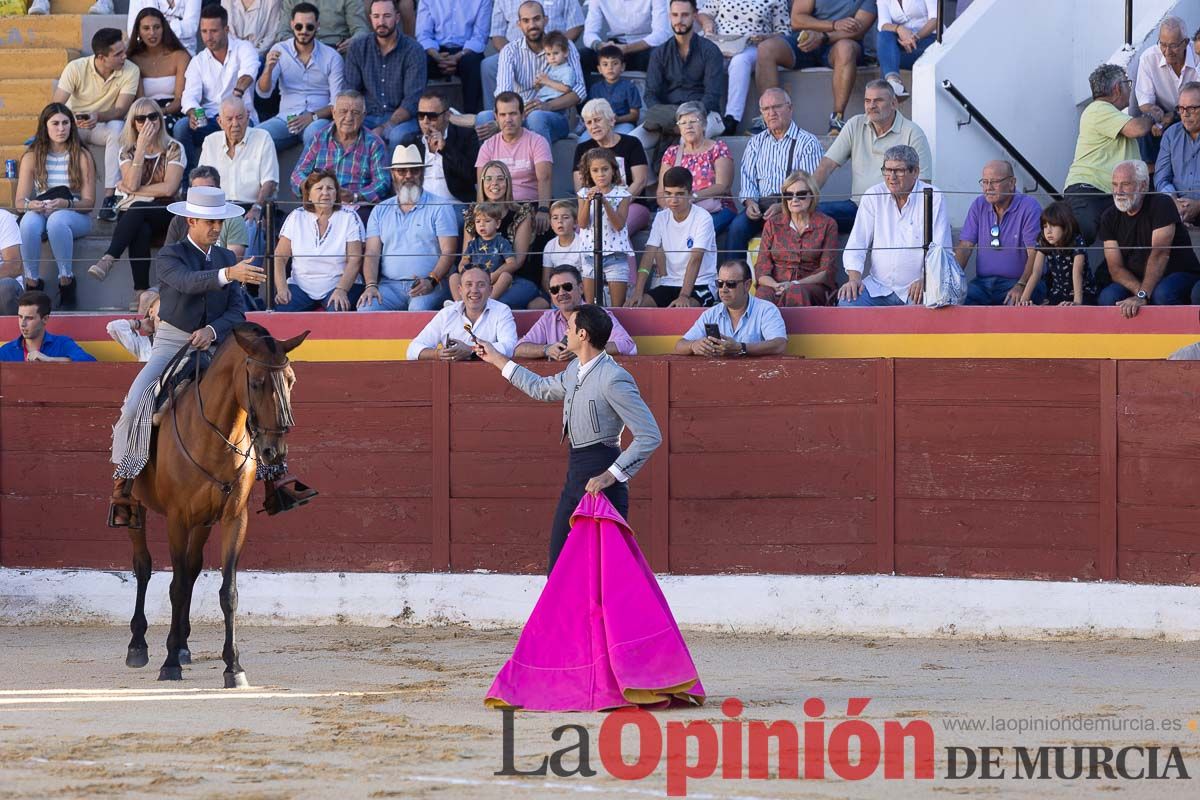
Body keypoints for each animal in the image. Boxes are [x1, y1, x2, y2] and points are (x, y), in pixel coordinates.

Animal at [121, 321, 307, 686]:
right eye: (256, 382)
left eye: (291, 380)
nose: (274, 452)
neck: (215, 434)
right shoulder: (177, 518)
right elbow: (176, 586)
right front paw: (169, 664)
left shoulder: (234, 517)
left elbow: (227, 591)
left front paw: (233, 666)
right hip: (137, 506)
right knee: (143, 566)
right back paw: (138, 645)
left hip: (204, 521)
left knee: (192, 568)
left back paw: (182, 645)